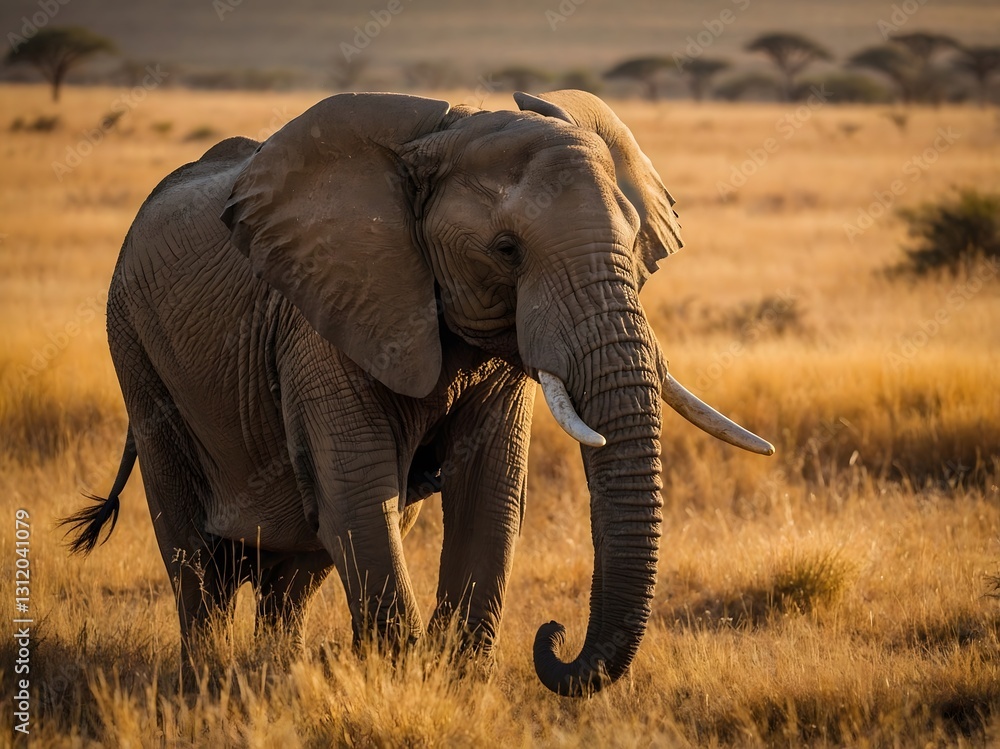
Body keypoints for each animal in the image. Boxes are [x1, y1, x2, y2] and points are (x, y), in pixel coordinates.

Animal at [61, 89, 773, 696]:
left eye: (633, 244)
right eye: (506, 249)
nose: (553, 634)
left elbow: (490, 493)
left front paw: (453, 682)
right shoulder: (325, 314)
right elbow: (359, 493)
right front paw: (399, 681)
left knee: (296, 566)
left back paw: (274, 671)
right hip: (133, 342)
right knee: (196, 556)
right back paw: (207, 680)